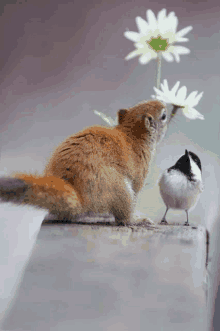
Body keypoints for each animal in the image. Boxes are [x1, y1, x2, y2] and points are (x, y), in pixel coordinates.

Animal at [0, 100, 168, 227]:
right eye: (164, 116)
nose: (163, 103)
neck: (132, 134)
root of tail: (79, 196)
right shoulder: (139, 174)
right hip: (120, 188)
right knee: (122, 217)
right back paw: (135, 221)